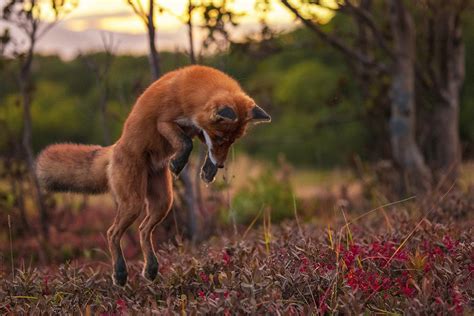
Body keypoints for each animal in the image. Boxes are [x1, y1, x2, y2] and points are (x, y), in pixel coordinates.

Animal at [36, 65, 270, 286]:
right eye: (220, 137)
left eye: (233, 141)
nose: (222, 165)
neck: (191, 91)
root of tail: (115, 148)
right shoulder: (165, 122)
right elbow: (186, 142)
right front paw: (179, 162)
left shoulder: (197, 128)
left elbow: (200, 145)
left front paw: (208, 170)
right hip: (134, 202)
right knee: (112, 233)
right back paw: (120, 272)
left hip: (163, 202)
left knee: (143, 230)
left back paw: (150, 268)